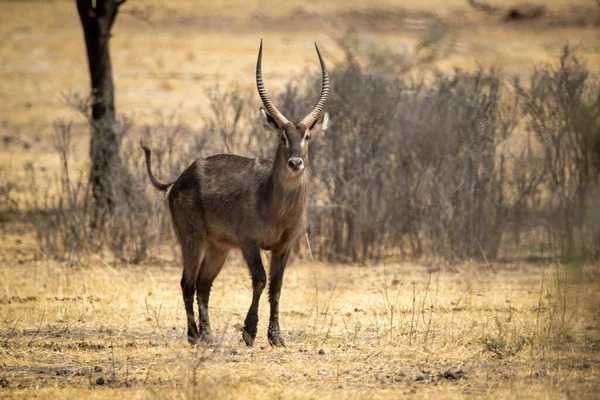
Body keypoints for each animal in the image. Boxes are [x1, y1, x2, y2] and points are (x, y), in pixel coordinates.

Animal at [142, 41, 328, 346]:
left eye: (307, 137)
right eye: (282, 136)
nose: (295, 163)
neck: (275, 204)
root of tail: (179, 179)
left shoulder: (284, 246)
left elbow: (277, 286)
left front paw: (276, 337)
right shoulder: (248, 243)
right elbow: (260, 279)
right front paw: (249, 332)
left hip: (218, 247)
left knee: (203, 283)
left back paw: (207, 334)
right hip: (192, 239)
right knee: (187, 282)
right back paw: (194, 336)